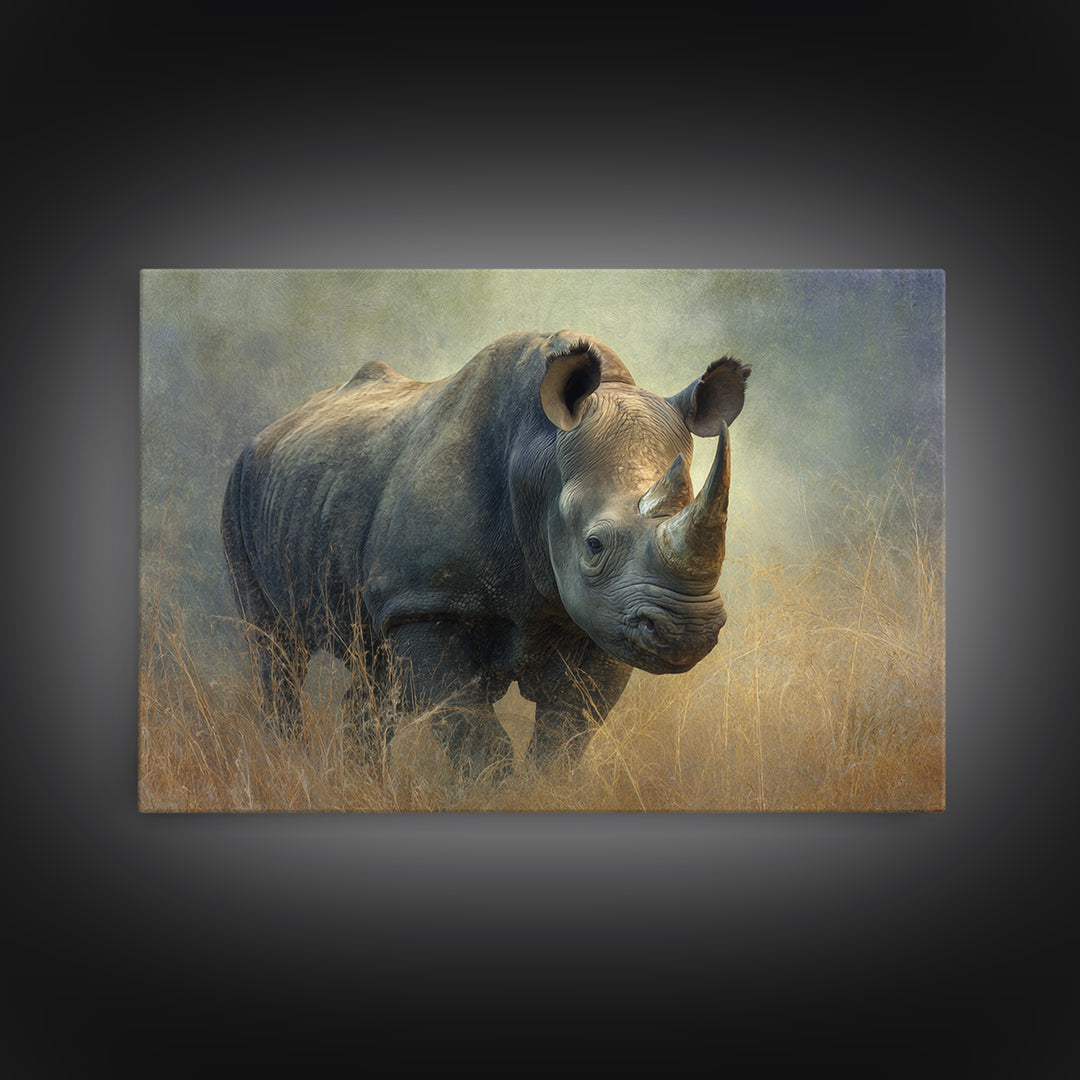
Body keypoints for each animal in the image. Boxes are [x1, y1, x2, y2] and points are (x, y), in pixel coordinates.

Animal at [221, 330, 749, 774]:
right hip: (239, 485)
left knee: (376, 673)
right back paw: (286, 763)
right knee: (275, 649)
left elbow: (565, 735)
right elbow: (475, 738)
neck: (538, 457)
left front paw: (543, 792)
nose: (688, 633)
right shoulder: (425, 603)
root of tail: (272, 428)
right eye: (594, 545)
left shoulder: (606, 617)